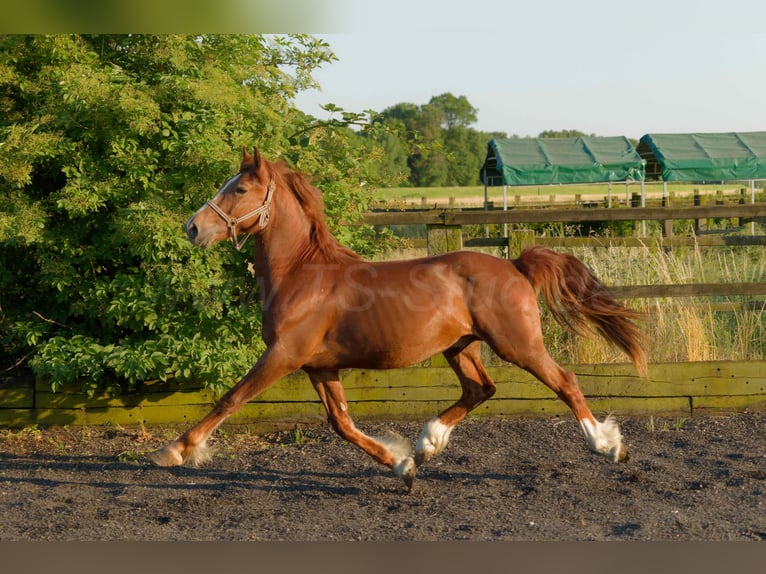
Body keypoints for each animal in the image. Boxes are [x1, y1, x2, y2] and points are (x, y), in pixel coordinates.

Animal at [150, 147, 647, 490]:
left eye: (239, 189)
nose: (193, 228)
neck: (302, 274)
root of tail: (516, 265)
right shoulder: (319, 366)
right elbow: (342, 423)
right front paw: (402, 465)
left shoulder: (284, 355)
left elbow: (229, 399)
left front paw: (174, 450)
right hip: (459, 347)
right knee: (481, 389)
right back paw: (427, 443)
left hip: (517, 344)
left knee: (564, 381)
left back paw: (609, 446)